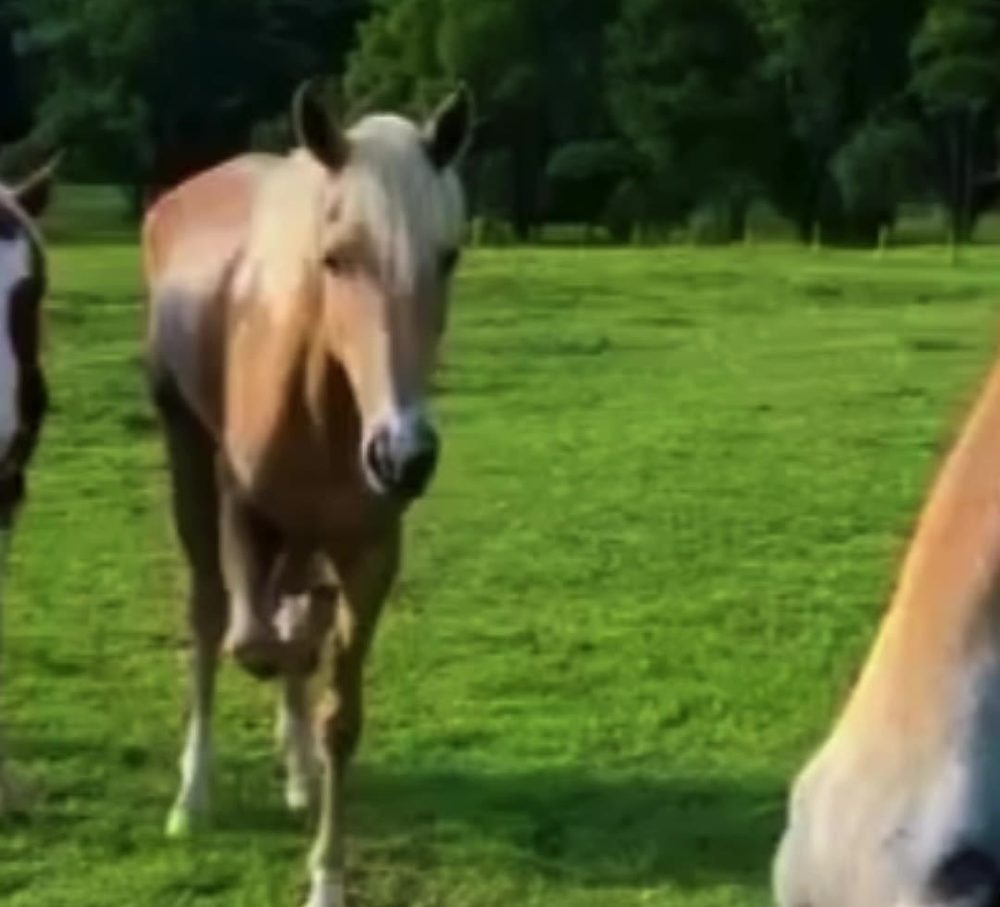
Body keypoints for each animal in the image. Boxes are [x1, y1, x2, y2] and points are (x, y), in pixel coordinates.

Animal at [142, 83, 472, 907]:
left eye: (448, 256)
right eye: (336, 257)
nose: (404, 455)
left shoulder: (372, 553)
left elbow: (339, 714)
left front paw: (327, 873)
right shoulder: (242, 512)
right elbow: (250, 640)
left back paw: (294, 763)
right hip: (185, 450)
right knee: (209, 612)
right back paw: (193, 794)